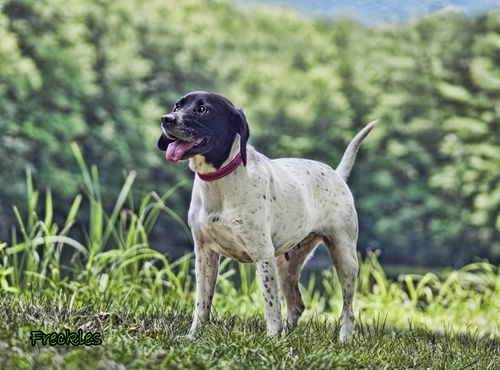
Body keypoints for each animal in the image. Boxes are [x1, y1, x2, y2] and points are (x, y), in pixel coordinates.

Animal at [158, 91, 376, 340]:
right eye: (177, 106)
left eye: (203, 109)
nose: (166, 119)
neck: (220, 182)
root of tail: (337, 174)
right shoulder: (205, 254)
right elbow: (202, 304)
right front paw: (194, 336)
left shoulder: (262, 255)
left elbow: (271, 306)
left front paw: (272, 340)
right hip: (286, 265)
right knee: (296, 304)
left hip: (344, 257)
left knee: (347, 309)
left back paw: (343, 339)